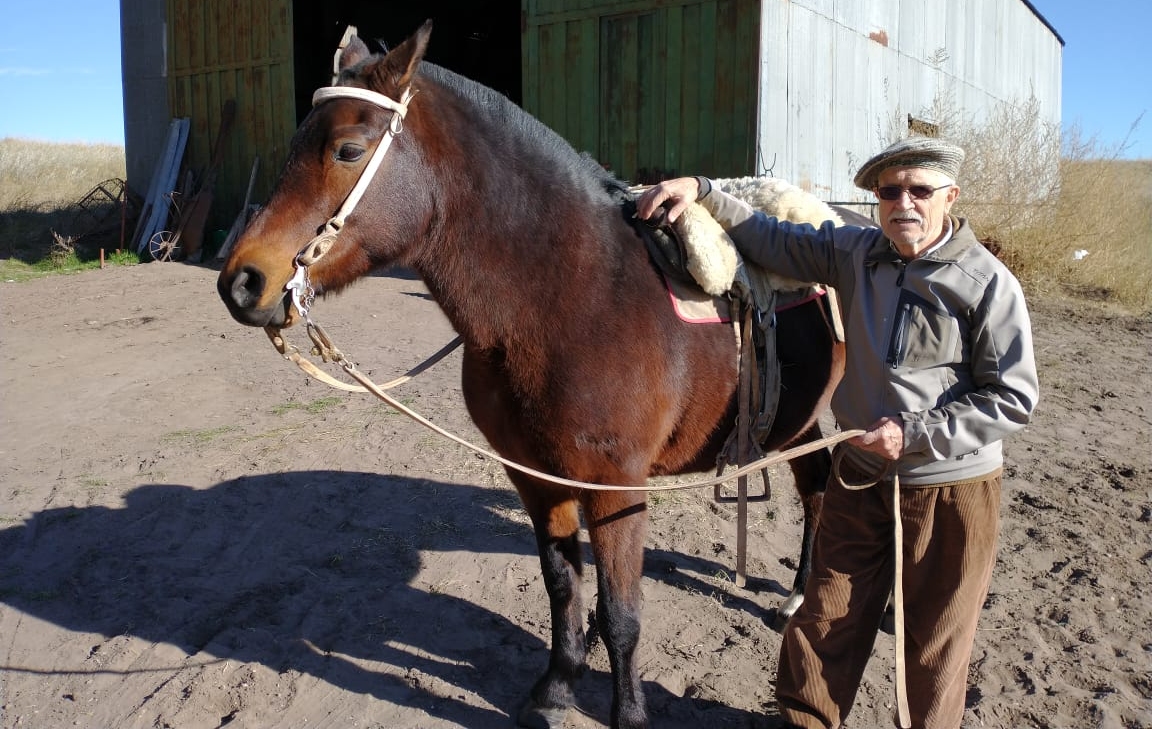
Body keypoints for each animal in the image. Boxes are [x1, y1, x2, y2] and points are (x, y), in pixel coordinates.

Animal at [217, 22, 847, 727]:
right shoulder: (535, 477)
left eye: (348, 148)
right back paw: (796, 596)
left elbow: (621, 613)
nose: (242, 282)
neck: (571, 297)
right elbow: (561, 586)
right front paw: (556, 688)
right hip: (798, 419)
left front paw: (627, 713)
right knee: (816, 484)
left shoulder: (615, 486)